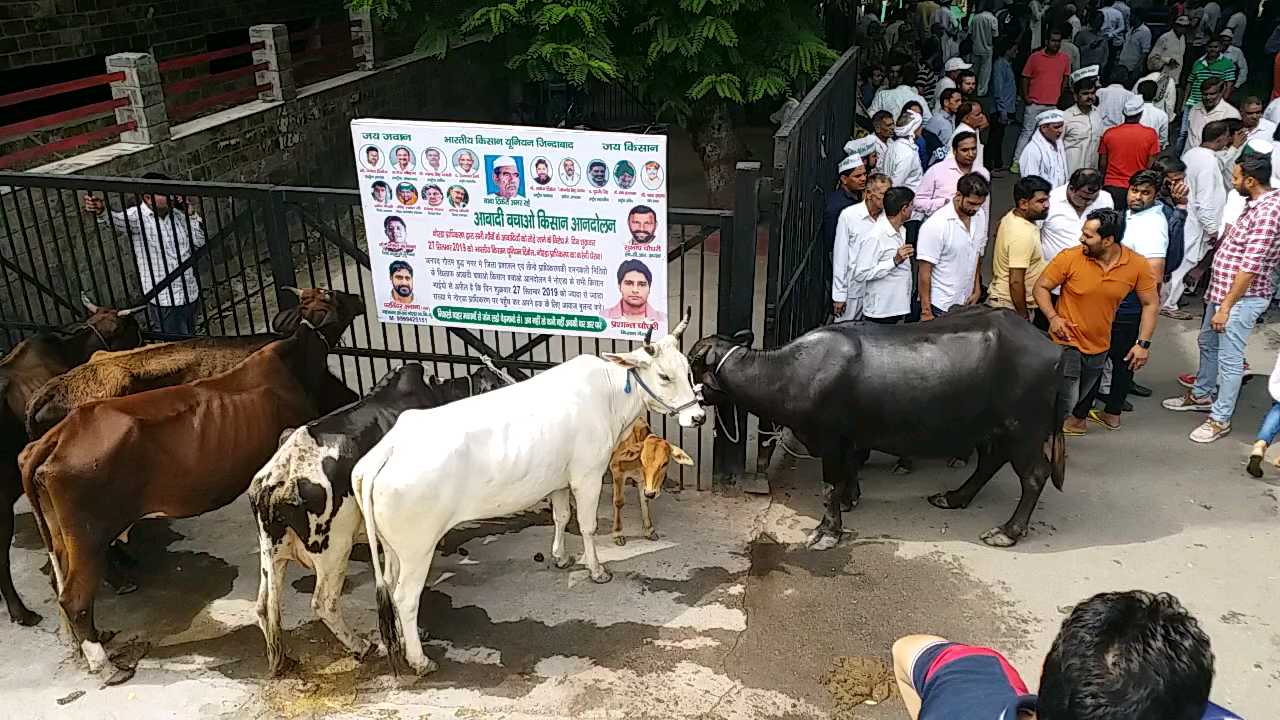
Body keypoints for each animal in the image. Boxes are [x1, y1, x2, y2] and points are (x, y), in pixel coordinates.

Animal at [249, 361, 509, 676]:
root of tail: (277, 478)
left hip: (273, 554)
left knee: (264, 606)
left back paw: (283, 660)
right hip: (334, 550)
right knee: (324, 602)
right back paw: (361, 645)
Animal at [606, 415, 691, 543]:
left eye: (665, 463)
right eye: (642, 460)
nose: (651, 493)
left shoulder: (643, 481)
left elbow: (644, 501)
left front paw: (649, 530)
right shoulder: (617, 469)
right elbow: (619, 502)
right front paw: (617, 533)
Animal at [696, 304, 1064, 545]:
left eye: (691, 361)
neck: (788, 372)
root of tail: (1053, 349)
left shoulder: (830, 439)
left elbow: (829, 485)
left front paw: (828, 531)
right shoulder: (849, 439)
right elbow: (848, 472)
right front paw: (850, 498)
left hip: (1024, 429)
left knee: (1034, 475)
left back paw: (1007, 531)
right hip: (996, 429)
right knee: (990, 461)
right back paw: (954, 497)